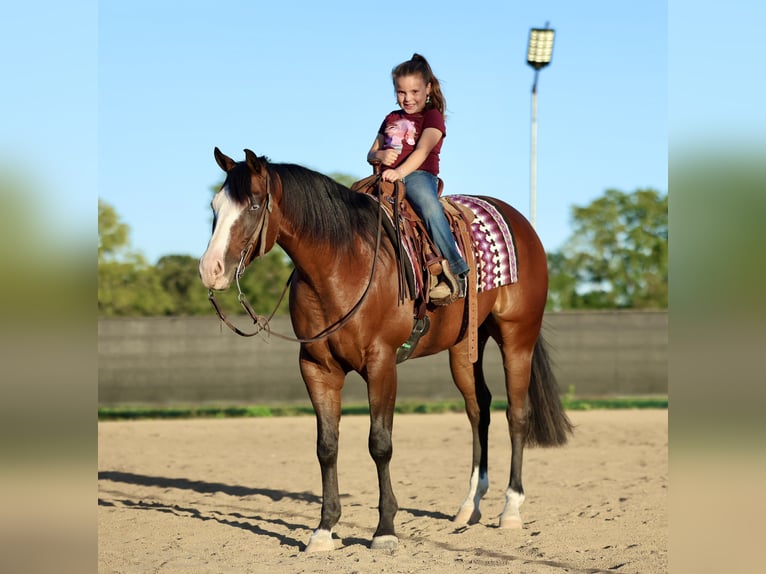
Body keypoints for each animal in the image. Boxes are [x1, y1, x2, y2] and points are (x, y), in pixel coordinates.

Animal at [198, 148, 573, 552]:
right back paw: (468, 507)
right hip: (463, 349)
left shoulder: (381, 363)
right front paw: (324, 530)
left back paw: (511, 509)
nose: (210, 269)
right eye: (215, 205)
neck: (342, 264)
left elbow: (380, 443)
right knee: (479, 411)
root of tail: (518, 221)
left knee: (516, 414)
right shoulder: (316, 366)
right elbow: (326, 446)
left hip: (517, 338)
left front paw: (385, 531)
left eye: (253, 205)